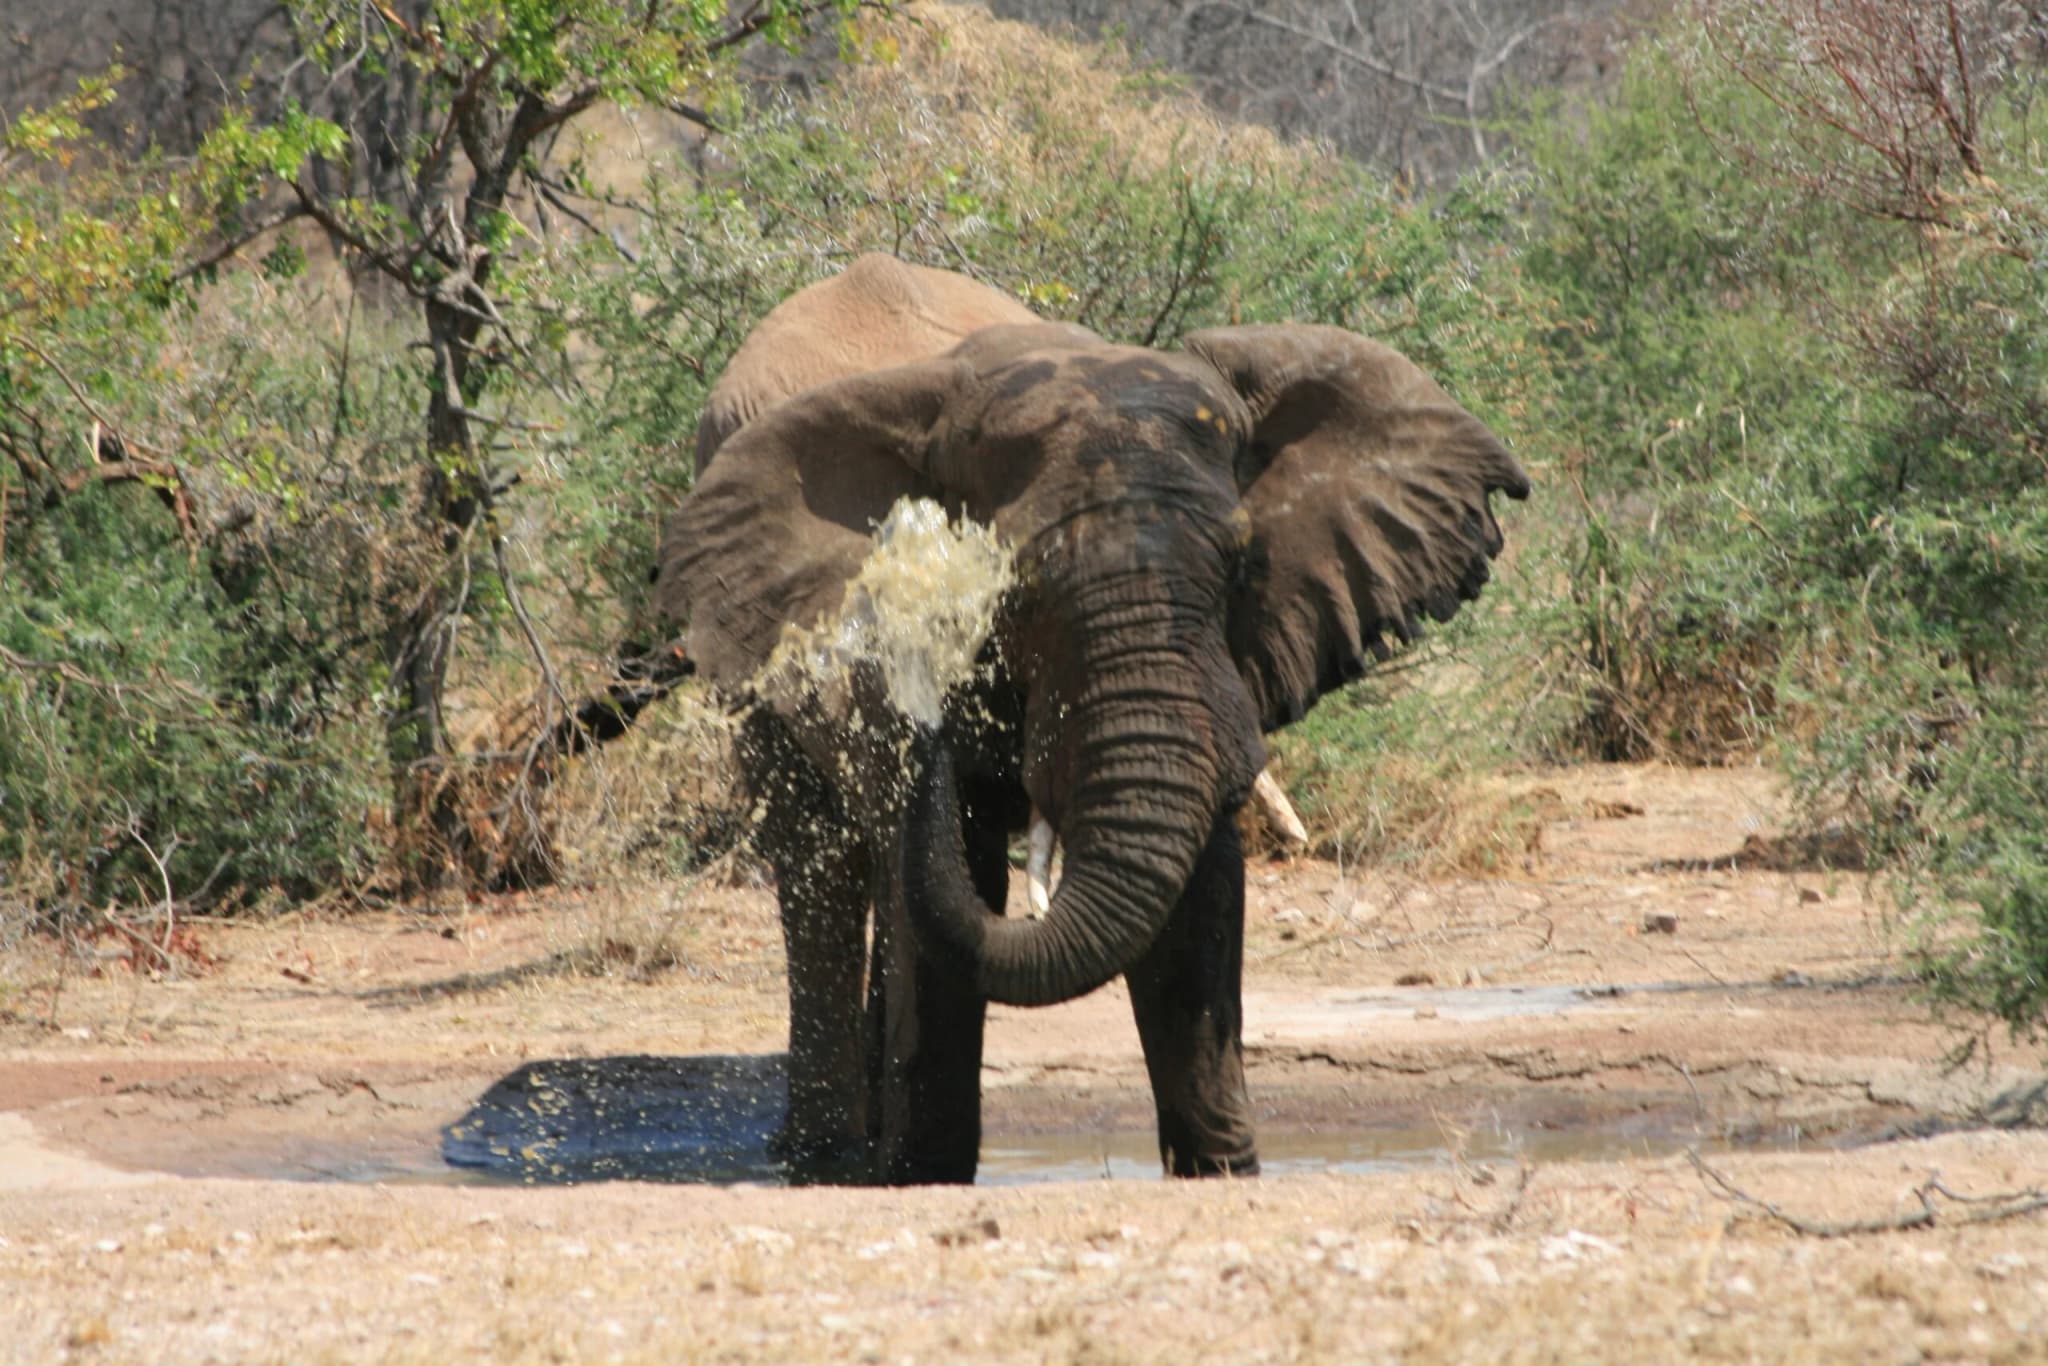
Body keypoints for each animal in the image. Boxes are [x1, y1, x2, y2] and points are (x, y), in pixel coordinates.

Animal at [657, 265, 1529, 1185]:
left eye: (1242, 563)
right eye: (1010, 586)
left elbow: (1199, 890)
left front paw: (1219, 1174)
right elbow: (939, 871)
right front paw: (923, 1177)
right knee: (819, 864)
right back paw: (821, 1158)